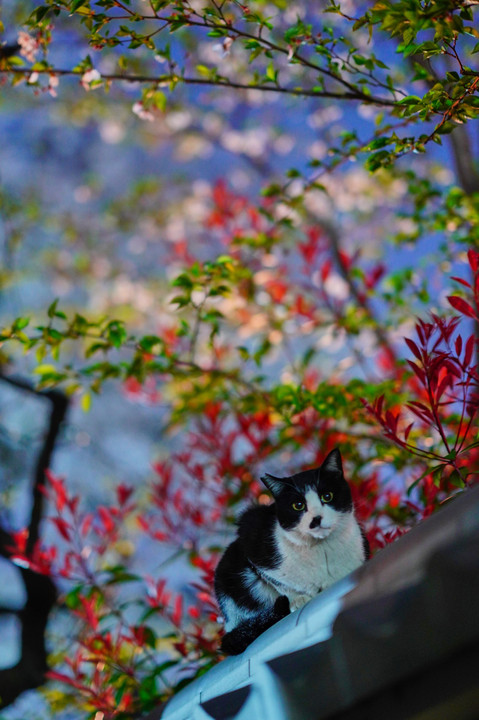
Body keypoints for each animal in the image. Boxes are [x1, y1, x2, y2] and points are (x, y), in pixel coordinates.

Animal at [216, 450, 370, 660]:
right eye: (298, 505)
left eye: (327, 496)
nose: (316, 519)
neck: (321, 549)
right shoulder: (251, 537)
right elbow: (277, 582)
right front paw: (298, 599)